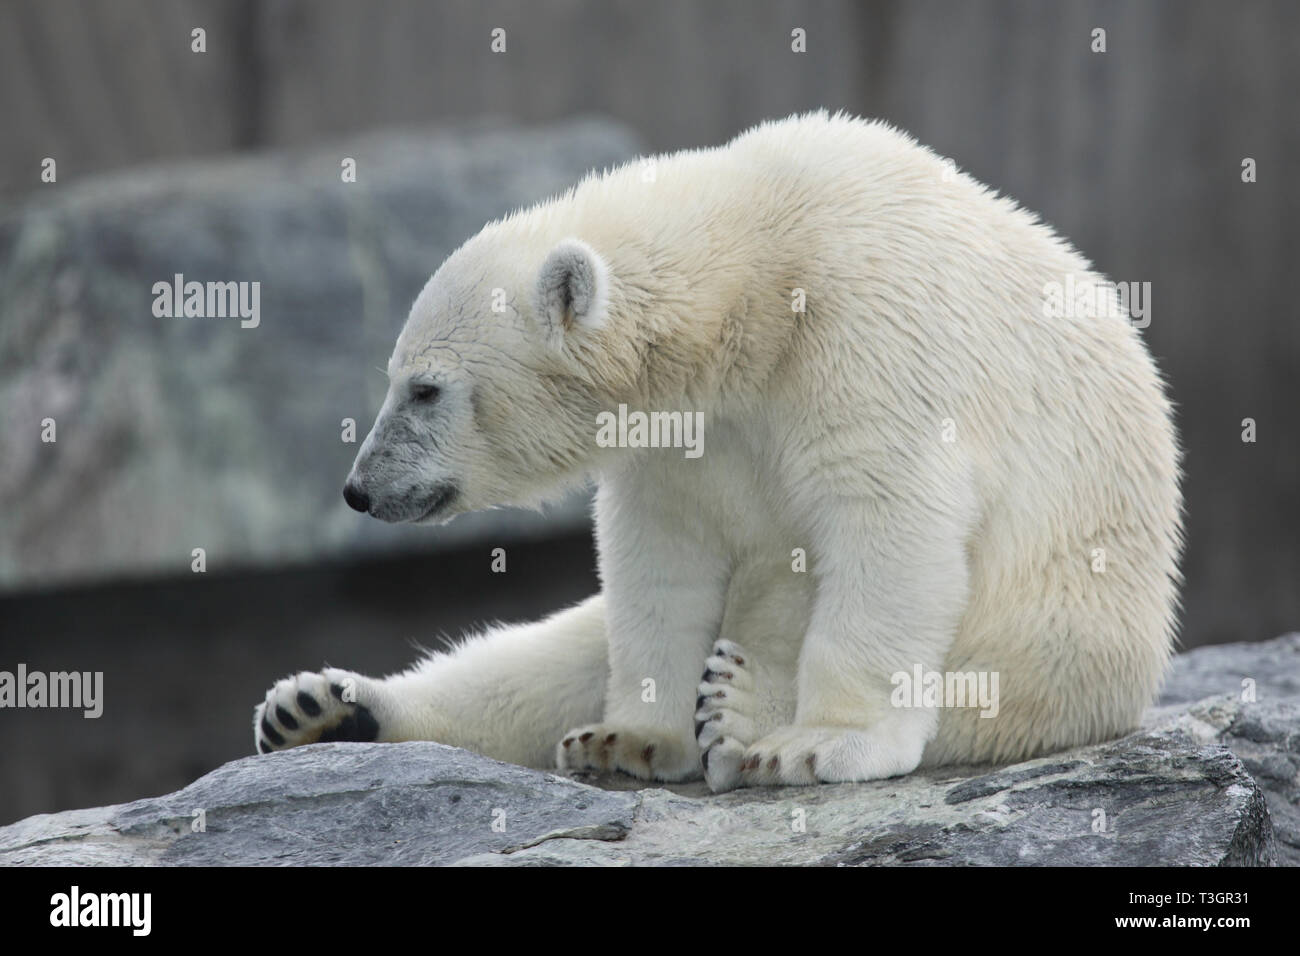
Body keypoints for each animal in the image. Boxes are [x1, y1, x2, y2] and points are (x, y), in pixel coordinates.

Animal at [250, 111, 1180, 790]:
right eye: (396, 378)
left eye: (425, 390)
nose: (361, 488)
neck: (762, 269)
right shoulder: (683, 427)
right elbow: (660, 555)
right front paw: (627, 737)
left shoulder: (874, 344)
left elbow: (889, 525)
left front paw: (813, 743)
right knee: (538, 659)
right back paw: (321, 709)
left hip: (1059, 637)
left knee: (976, 690)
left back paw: (742, 710)